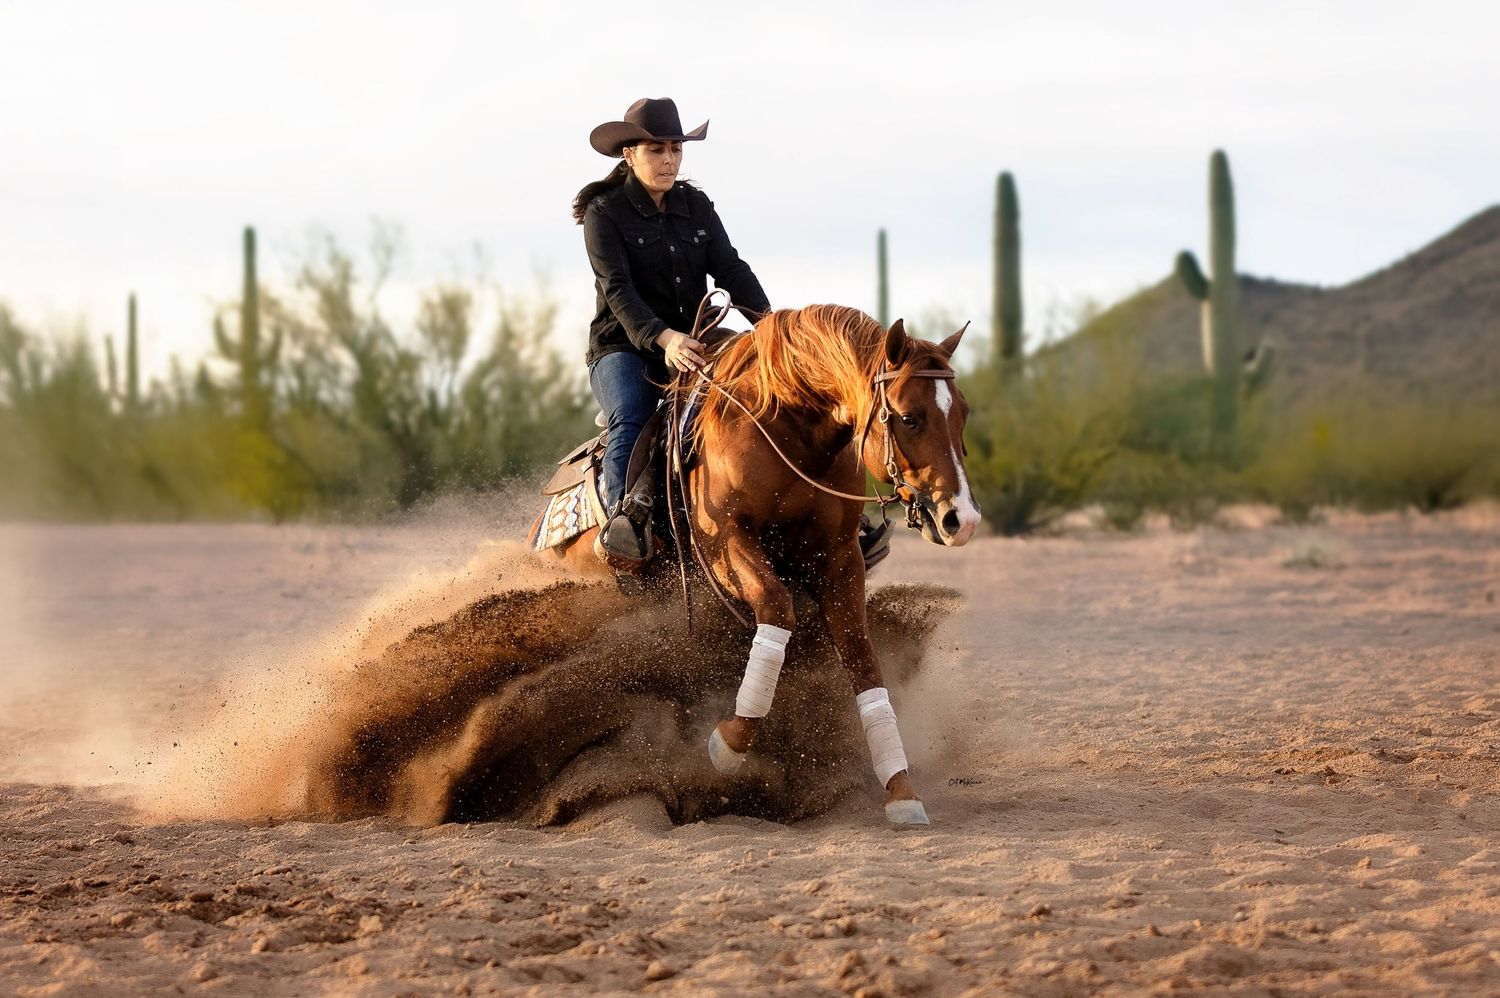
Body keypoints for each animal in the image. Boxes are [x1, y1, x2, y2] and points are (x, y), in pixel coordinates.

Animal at [537, 304, 980, 824]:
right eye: (909, 417)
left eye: (963, 413)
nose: (962, 519)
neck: (790, 433)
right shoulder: (727, 542)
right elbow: (776, 609)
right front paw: (729, 744)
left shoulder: (839, 558)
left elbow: (861, 657)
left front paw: (901, 789)